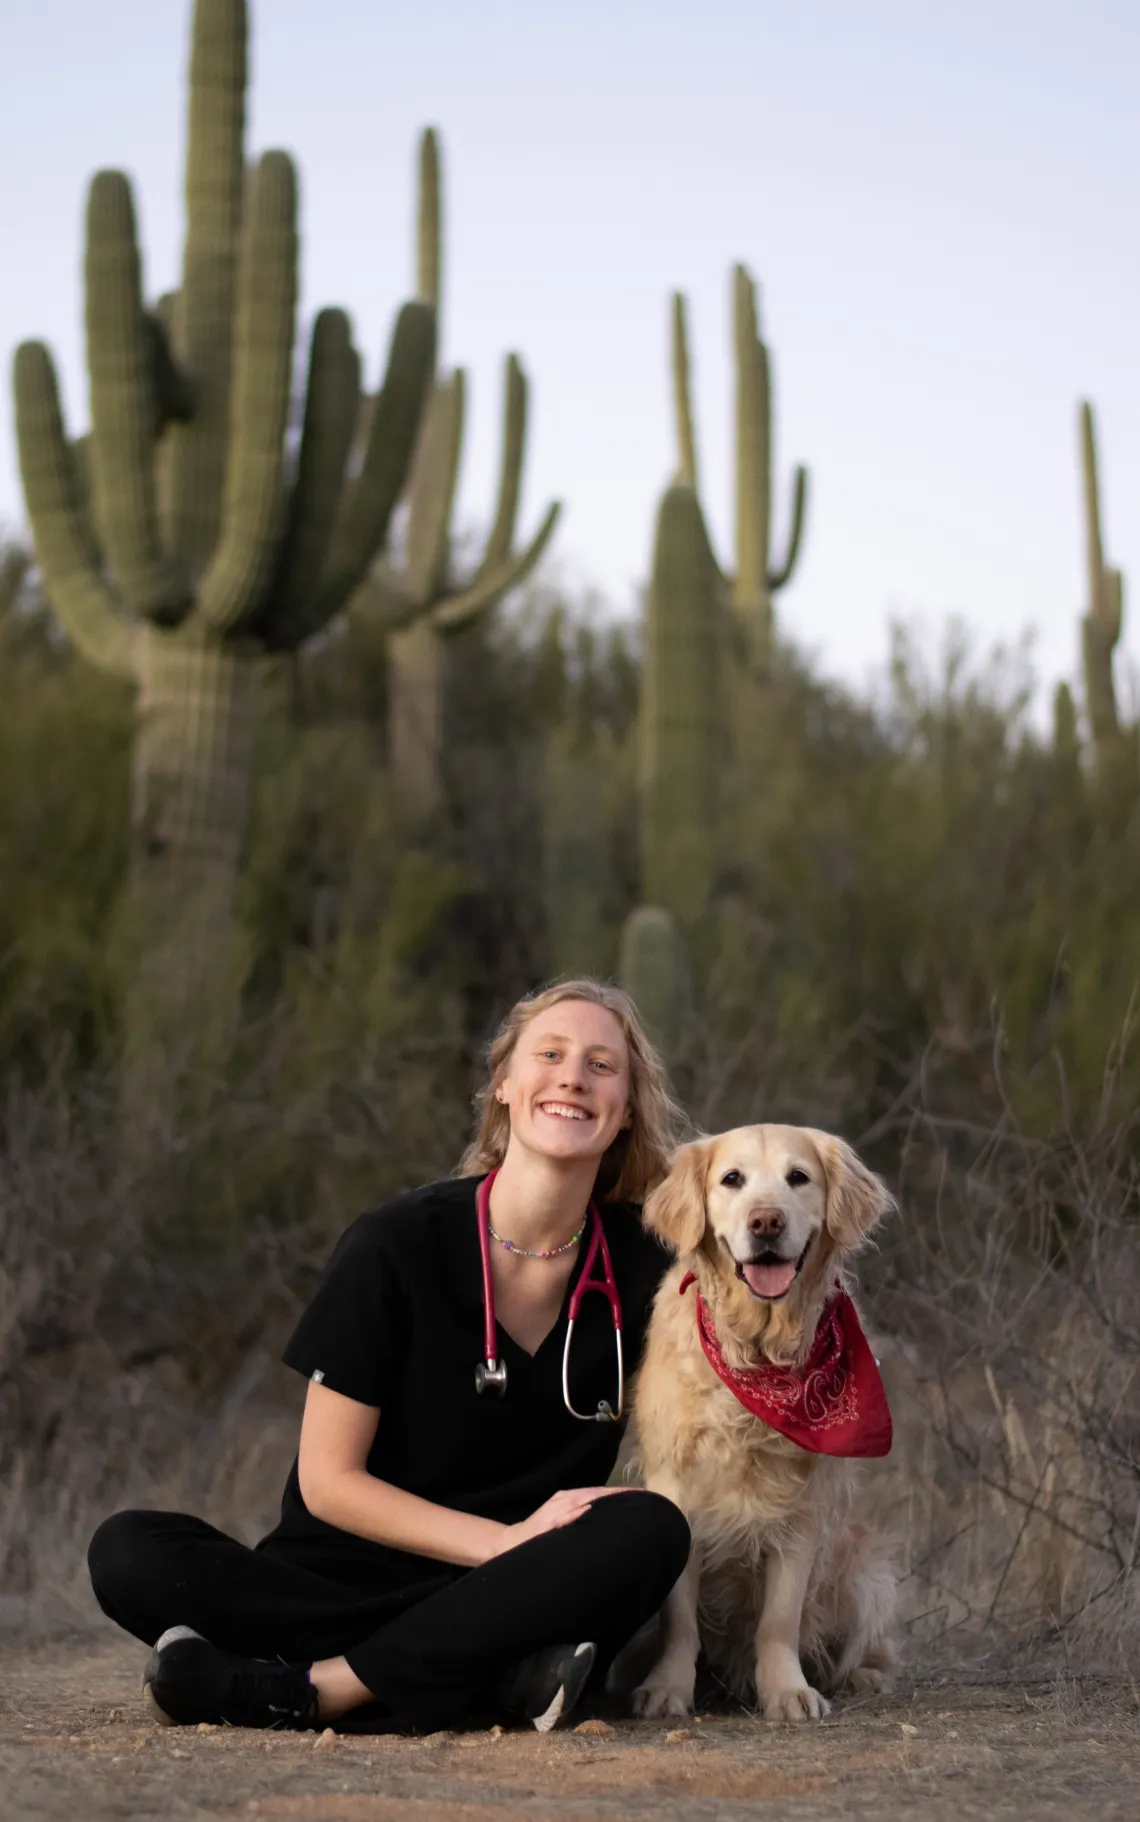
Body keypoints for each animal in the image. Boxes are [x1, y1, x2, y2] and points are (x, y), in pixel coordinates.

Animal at [630, 1122, 895, 1719]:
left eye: (798, 1177)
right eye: (732, 1179)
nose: (766, 1221)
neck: (757, 1357)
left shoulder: (802, 1506)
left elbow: (780, 1618)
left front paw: (787, 1692)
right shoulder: (674, 1488)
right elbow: (678, 1618)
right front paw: (667, 1688)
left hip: (866, 1573)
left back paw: (865, 1677)